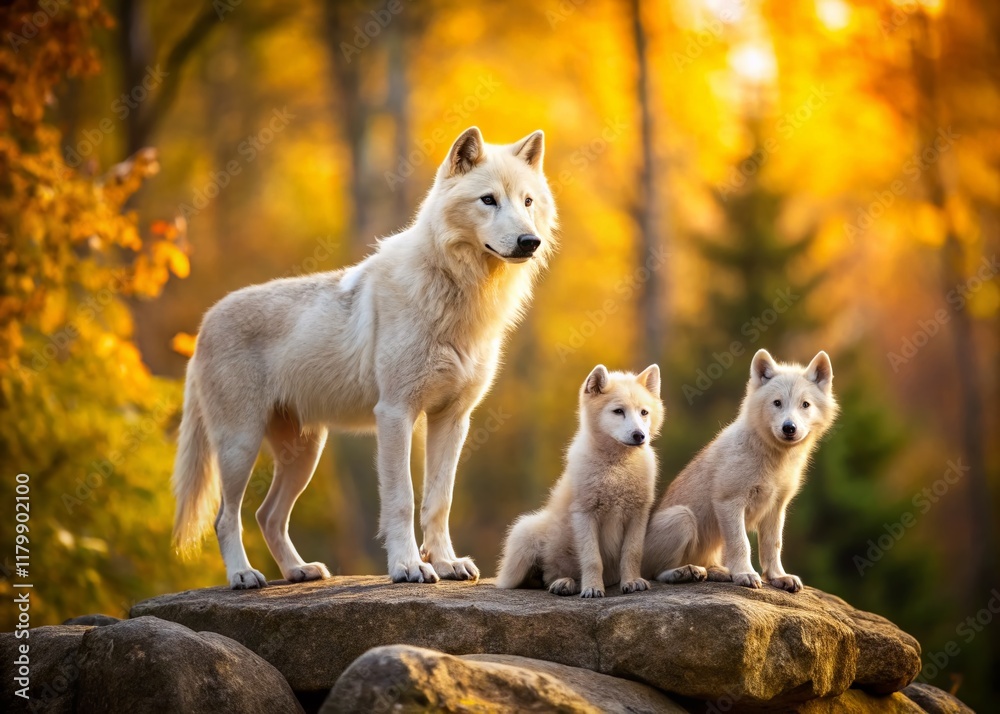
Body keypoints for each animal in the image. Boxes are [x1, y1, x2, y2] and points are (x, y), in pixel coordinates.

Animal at [172, 127, 557, 588]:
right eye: (488, 199)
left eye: (527, 202)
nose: (529, 242)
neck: (458, 293)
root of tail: (204, 323)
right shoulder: (394, 414)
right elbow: (402, 499)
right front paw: (409, 566)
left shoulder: (452, 419)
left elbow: (439, 500)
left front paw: (447, 563)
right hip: (240, 447)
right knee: (226, 518)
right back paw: (244, 575)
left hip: (304, 454)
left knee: (268, 515)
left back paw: (299, 570)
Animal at [496, 364, 663, 598]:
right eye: (618, 411)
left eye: (644, 412)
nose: (640, 436)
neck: (616, 467)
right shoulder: (585, 514)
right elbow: (592, 558)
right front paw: (592, 588)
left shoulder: (638, 514)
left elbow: (632, 553)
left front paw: (631, 582)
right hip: (523, 533)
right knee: (543, 577)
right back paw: (564, 583)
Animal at [642, 349, 838, 592]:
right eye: (777, 403)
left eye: (805, 404)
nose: (789, 428)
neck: (773, 459)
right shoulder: (730, 503)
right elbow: (741, 543)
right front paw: (745, 574)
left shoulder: (776, 508)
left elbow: (773, 545)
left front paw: (778, 577)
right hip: (682, 517)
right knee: (655, 573)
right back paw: (686, 572)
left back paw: (719, 572)